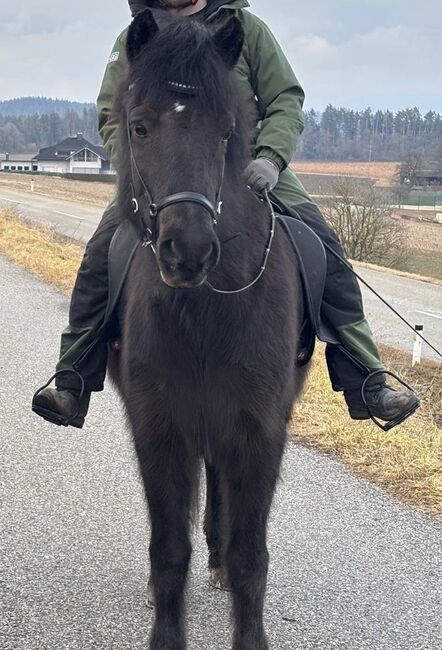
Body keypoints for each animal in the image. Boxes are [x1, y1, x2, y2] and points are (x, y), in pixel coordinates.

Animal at [109, 8, 308, 649]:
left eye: (226, 132)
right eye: (140, 127)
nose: (189, 251)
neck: (206, 312)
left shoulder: (259, 430)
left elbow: (250, 557)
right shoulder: (160, 428)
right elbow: (170, 550)